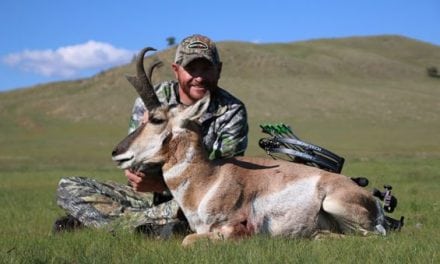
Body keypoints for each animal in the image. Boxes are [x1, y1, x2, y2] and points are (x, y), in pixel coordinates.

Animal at [112, 47, 388, 245]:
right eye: (144, 118)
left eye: (157, 119)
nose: (117, 152)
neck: (209, 179)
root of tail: (373, 199)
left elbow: (188, 240)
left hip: (334, 204)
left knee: (372, 236)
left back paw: (318, 236)